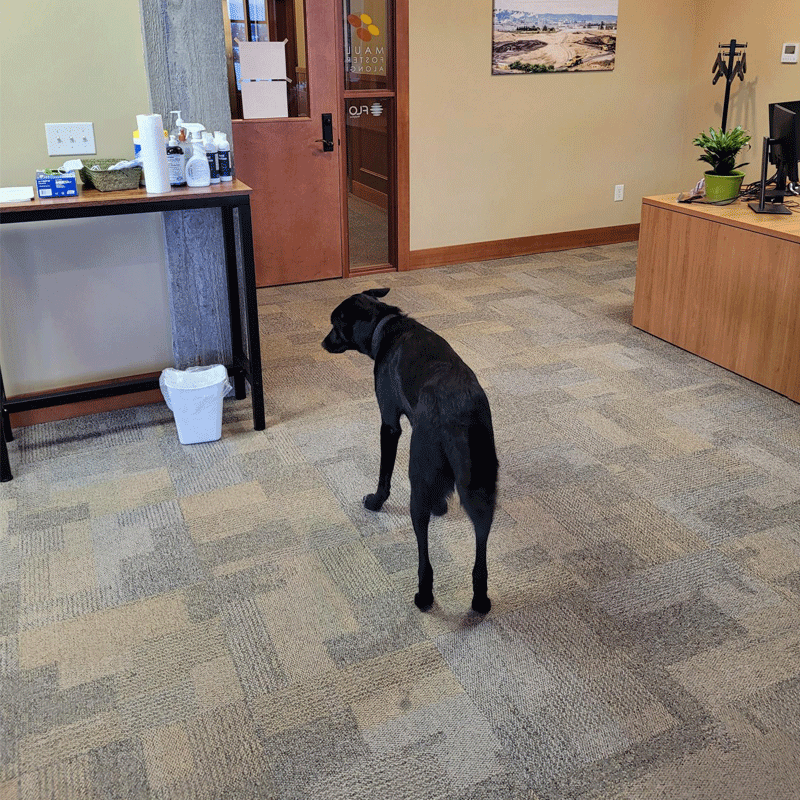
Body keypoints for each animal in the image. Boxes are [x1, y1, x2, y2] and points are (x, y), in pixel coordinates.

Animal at [322, 288, 496, 612]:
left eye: (335, 324)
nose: (323, 342)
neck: (386, 326)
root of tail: (458, 416)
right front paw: (442, 506)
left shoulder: (389, 425)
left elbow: (384, 474)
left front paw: (375, 501)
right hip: (482, 486)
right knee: (481, 551)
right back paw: (480, 600)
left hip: (419, 479)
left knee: (424, 555)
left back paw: (424, 596)